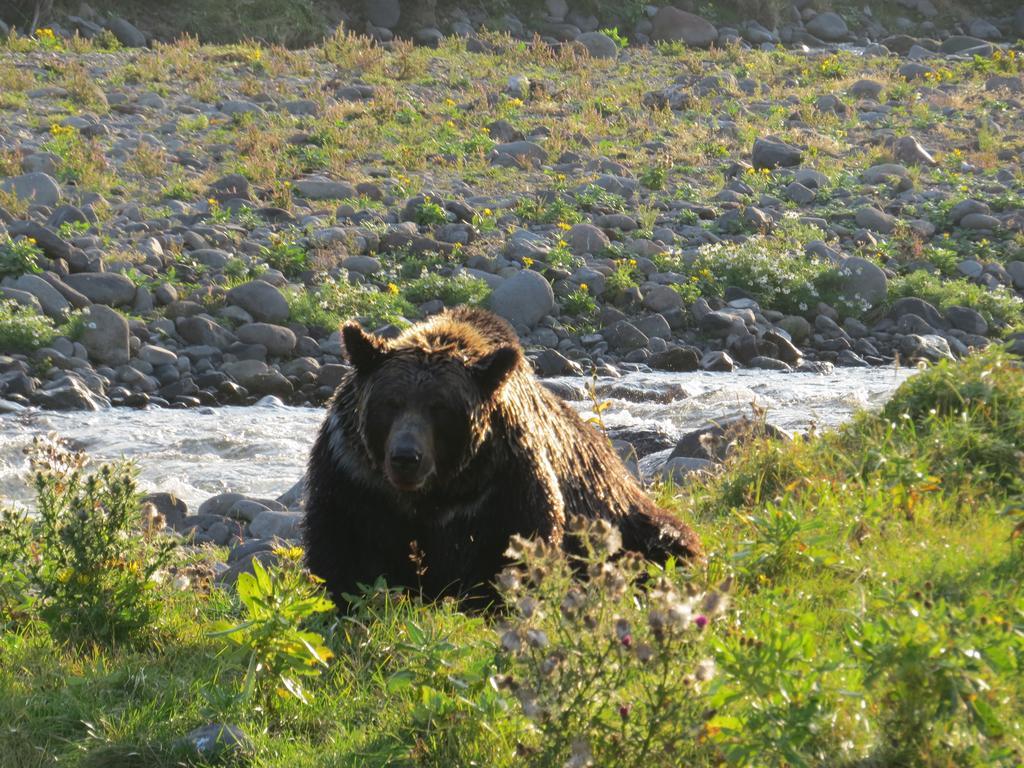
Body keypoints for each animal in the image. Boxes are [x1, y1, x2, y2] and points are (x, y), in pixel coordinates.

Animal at [303, 307, 704, 606]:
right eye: (391, 402)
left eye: (440, 408)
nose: (406, 457)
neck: (434, 492)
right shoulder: (356, 479)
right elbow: (344, 551)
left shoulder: (500, 486)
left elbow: (508, 556)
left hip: (624, 519)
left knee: (666, 539)